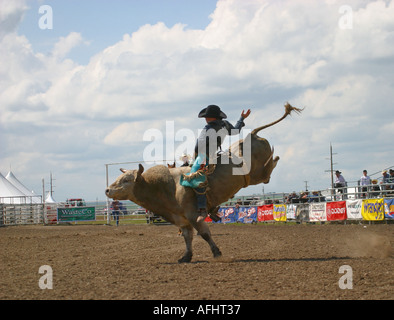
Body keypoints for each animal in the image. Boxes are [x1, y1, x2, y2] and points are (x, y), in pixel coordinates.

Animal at [104, 103, 302, 262]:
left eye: (126, 180)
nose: (107, 190)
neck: (167, 187)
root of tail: (250, 136)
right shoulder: (182, 219)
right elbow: (188, 237)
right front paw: (186, 257)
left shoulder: (193, 215)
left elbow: (205, 234)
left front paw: (217, 253)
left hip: (257, 174)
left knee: (269, 168)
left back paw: (274, 157)